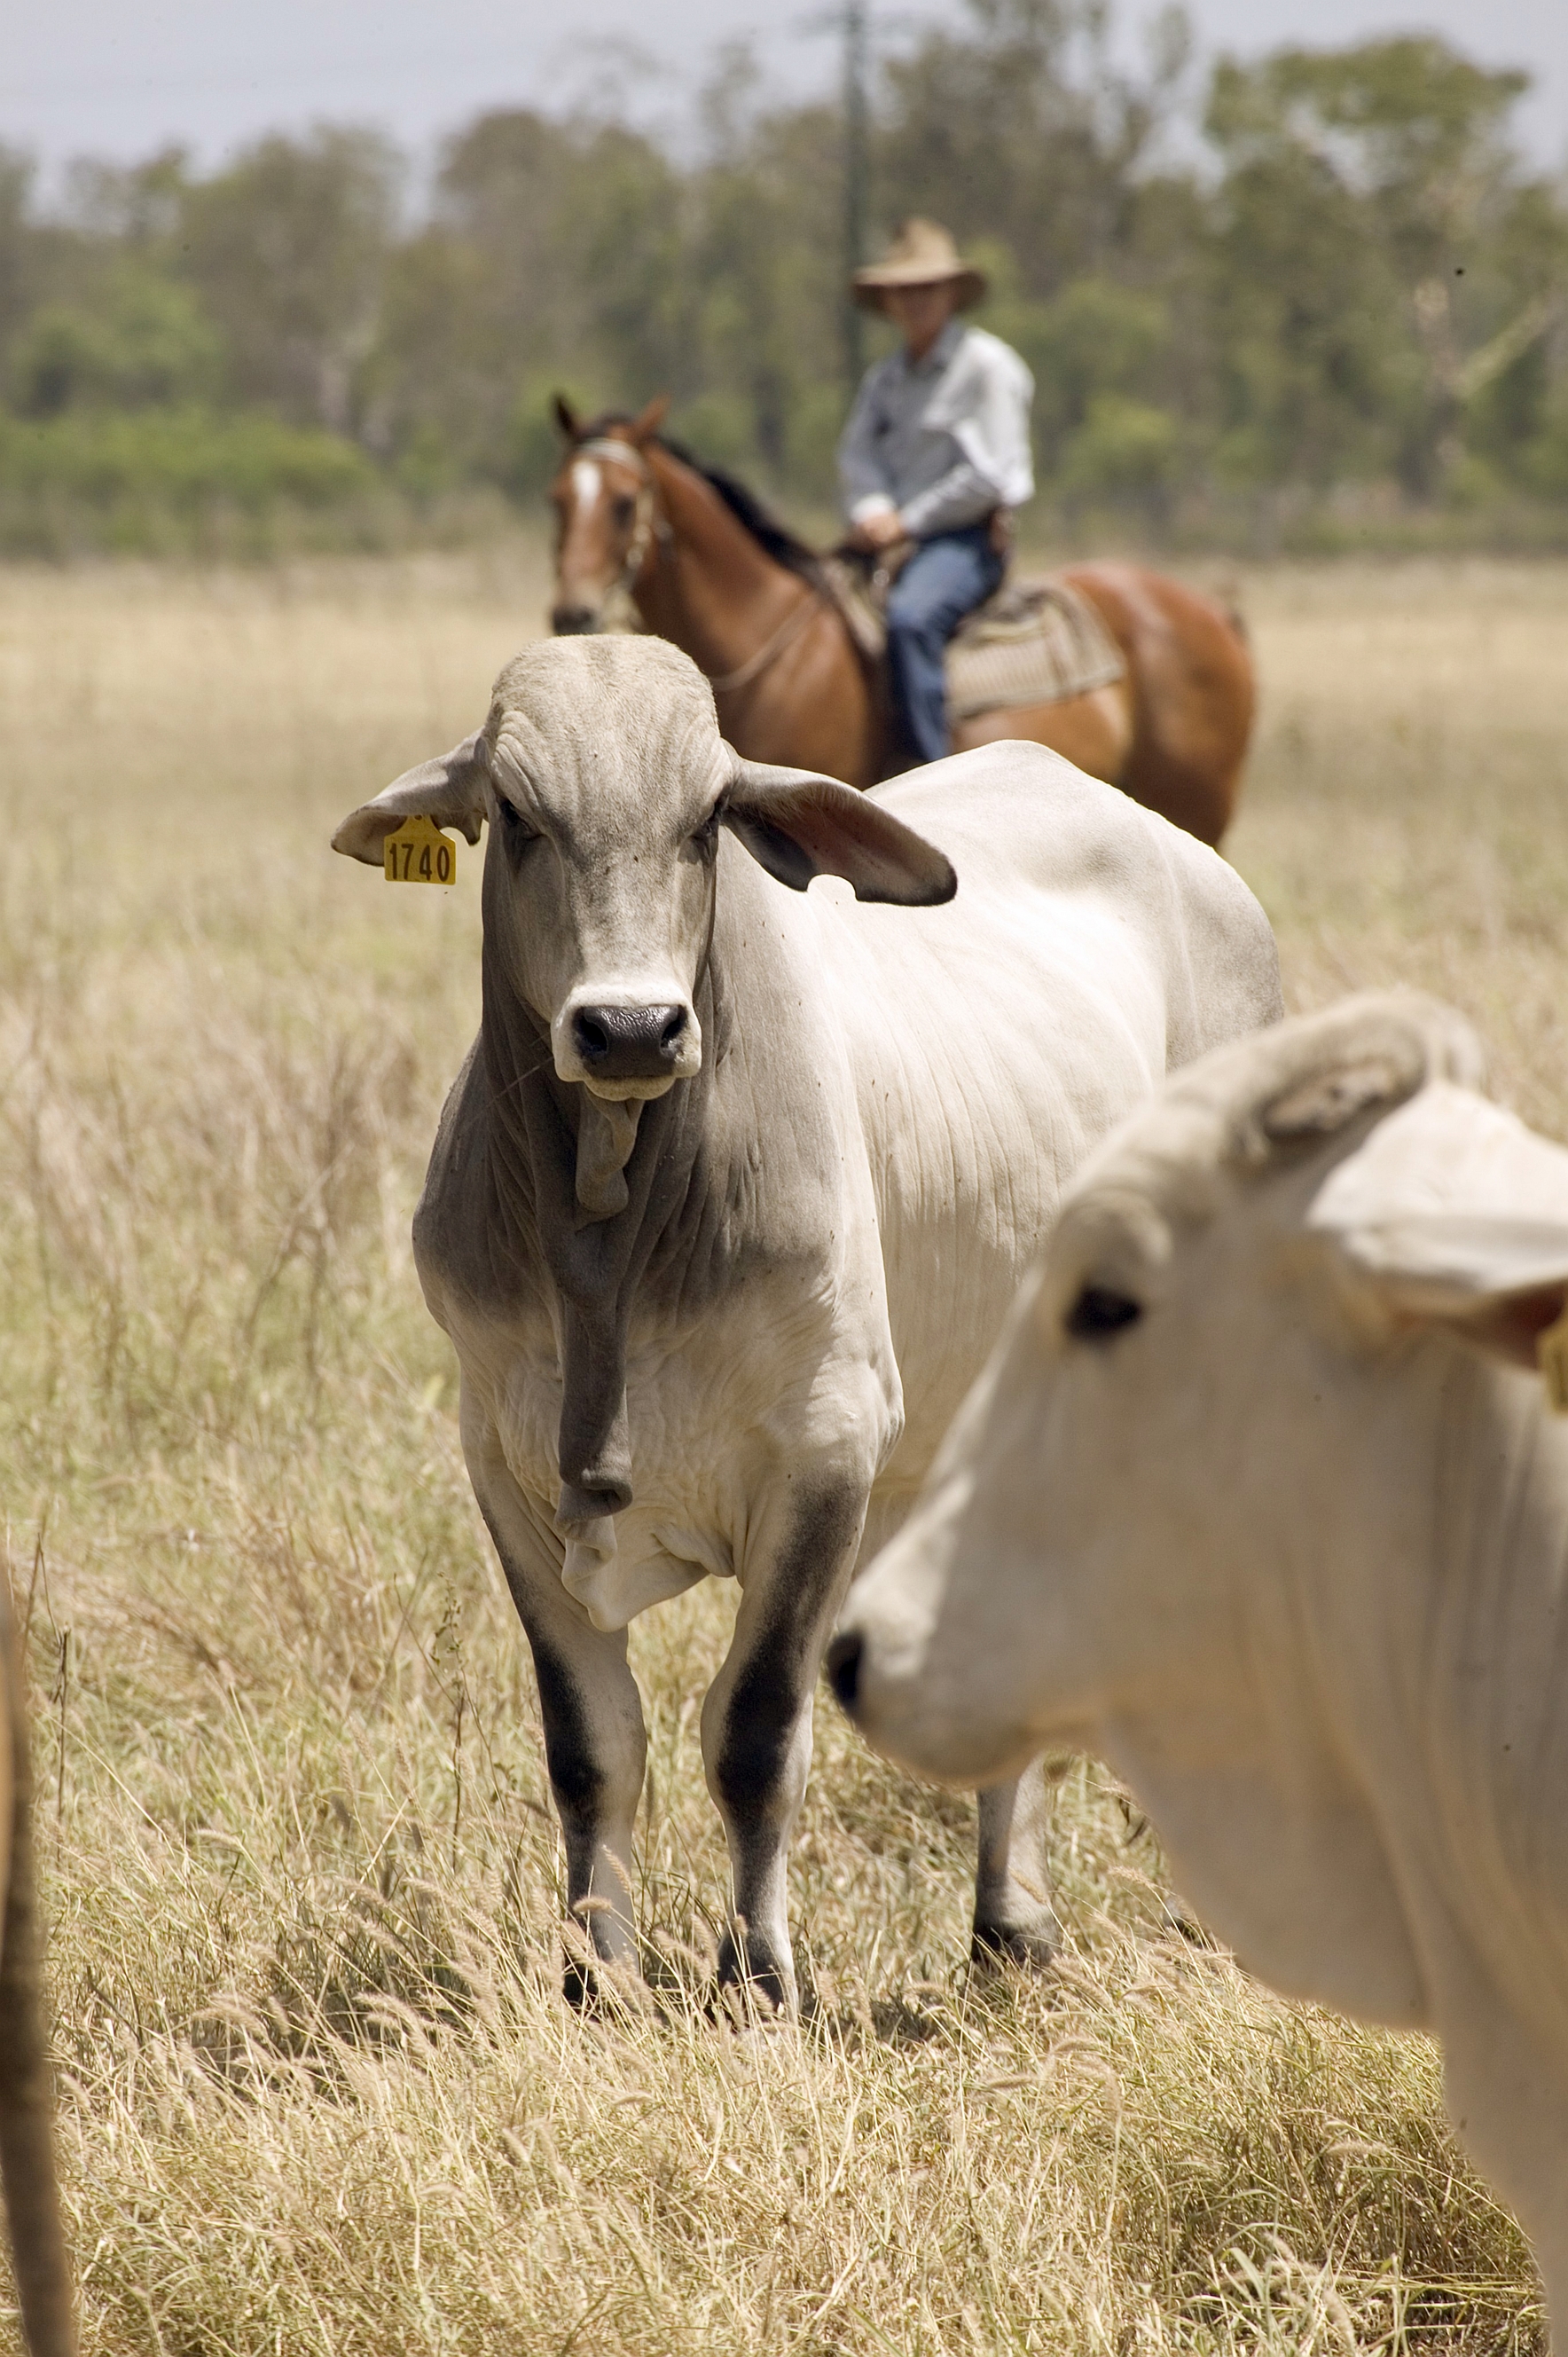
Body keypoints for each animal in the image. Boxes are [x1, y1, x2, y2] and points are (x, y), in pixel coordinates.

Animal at [330, 636, 1273, 2017]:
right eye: (519, 814)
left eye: (704, 819)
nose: (630, 1027)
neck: (613, 1221)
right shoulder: (503, 1466)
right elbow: (590, 1742)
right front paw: (595, 1980)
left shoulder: (825, 1451)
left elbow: (754, 1728)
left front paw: (758, 1977)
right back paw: (1011, 1926)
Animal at [545, 396, 1254, 848]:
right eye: (557, 500)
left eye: (624, 502)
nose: (572, 610)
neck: (772, 648)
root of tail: (1212, 612)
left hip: (1197, 811)